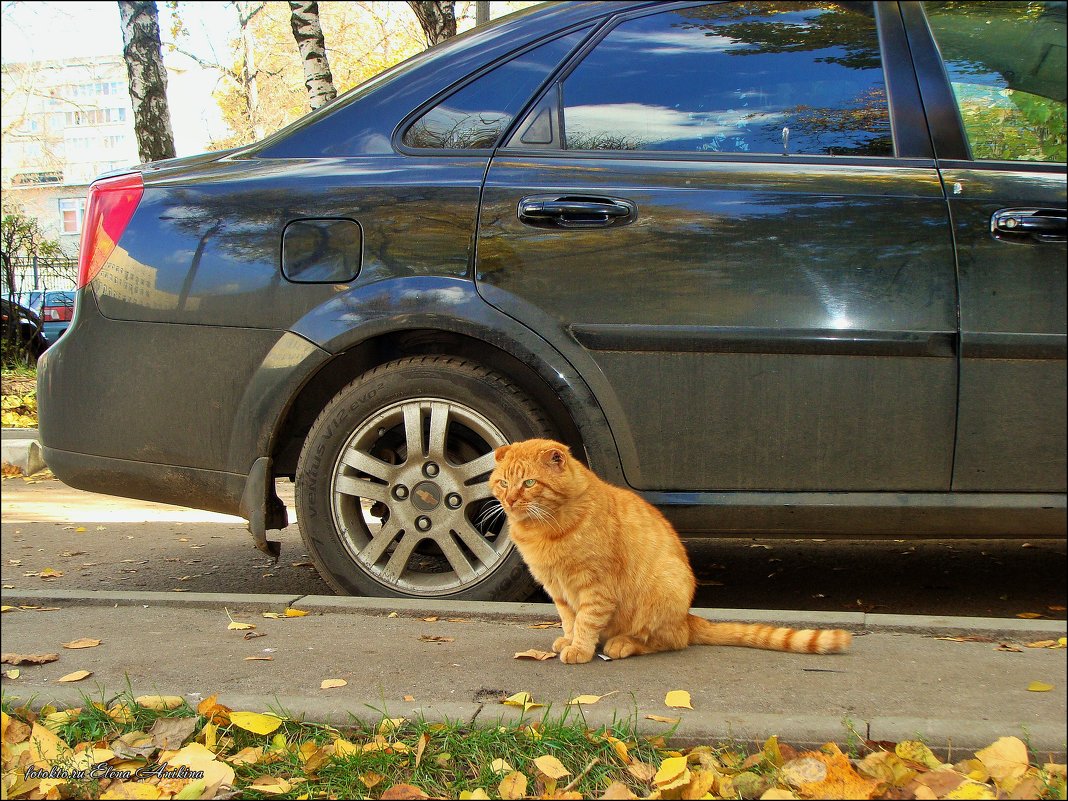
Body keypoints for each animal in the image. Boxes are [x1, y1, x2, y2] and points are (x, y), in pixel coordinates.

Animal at [489, 440, 850, 666]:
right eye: (503, 483)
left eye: (529, 483)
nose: (510, 501)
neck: (542, 529)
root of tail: (687, 616)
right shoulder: (558, 591)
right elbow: (569, 620)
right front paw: (570, 640)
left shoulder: (596, 587)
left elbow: (587, 621)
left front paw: (580, 647)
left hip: (662, 589)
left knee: (670, 640)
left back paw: (623, 643)